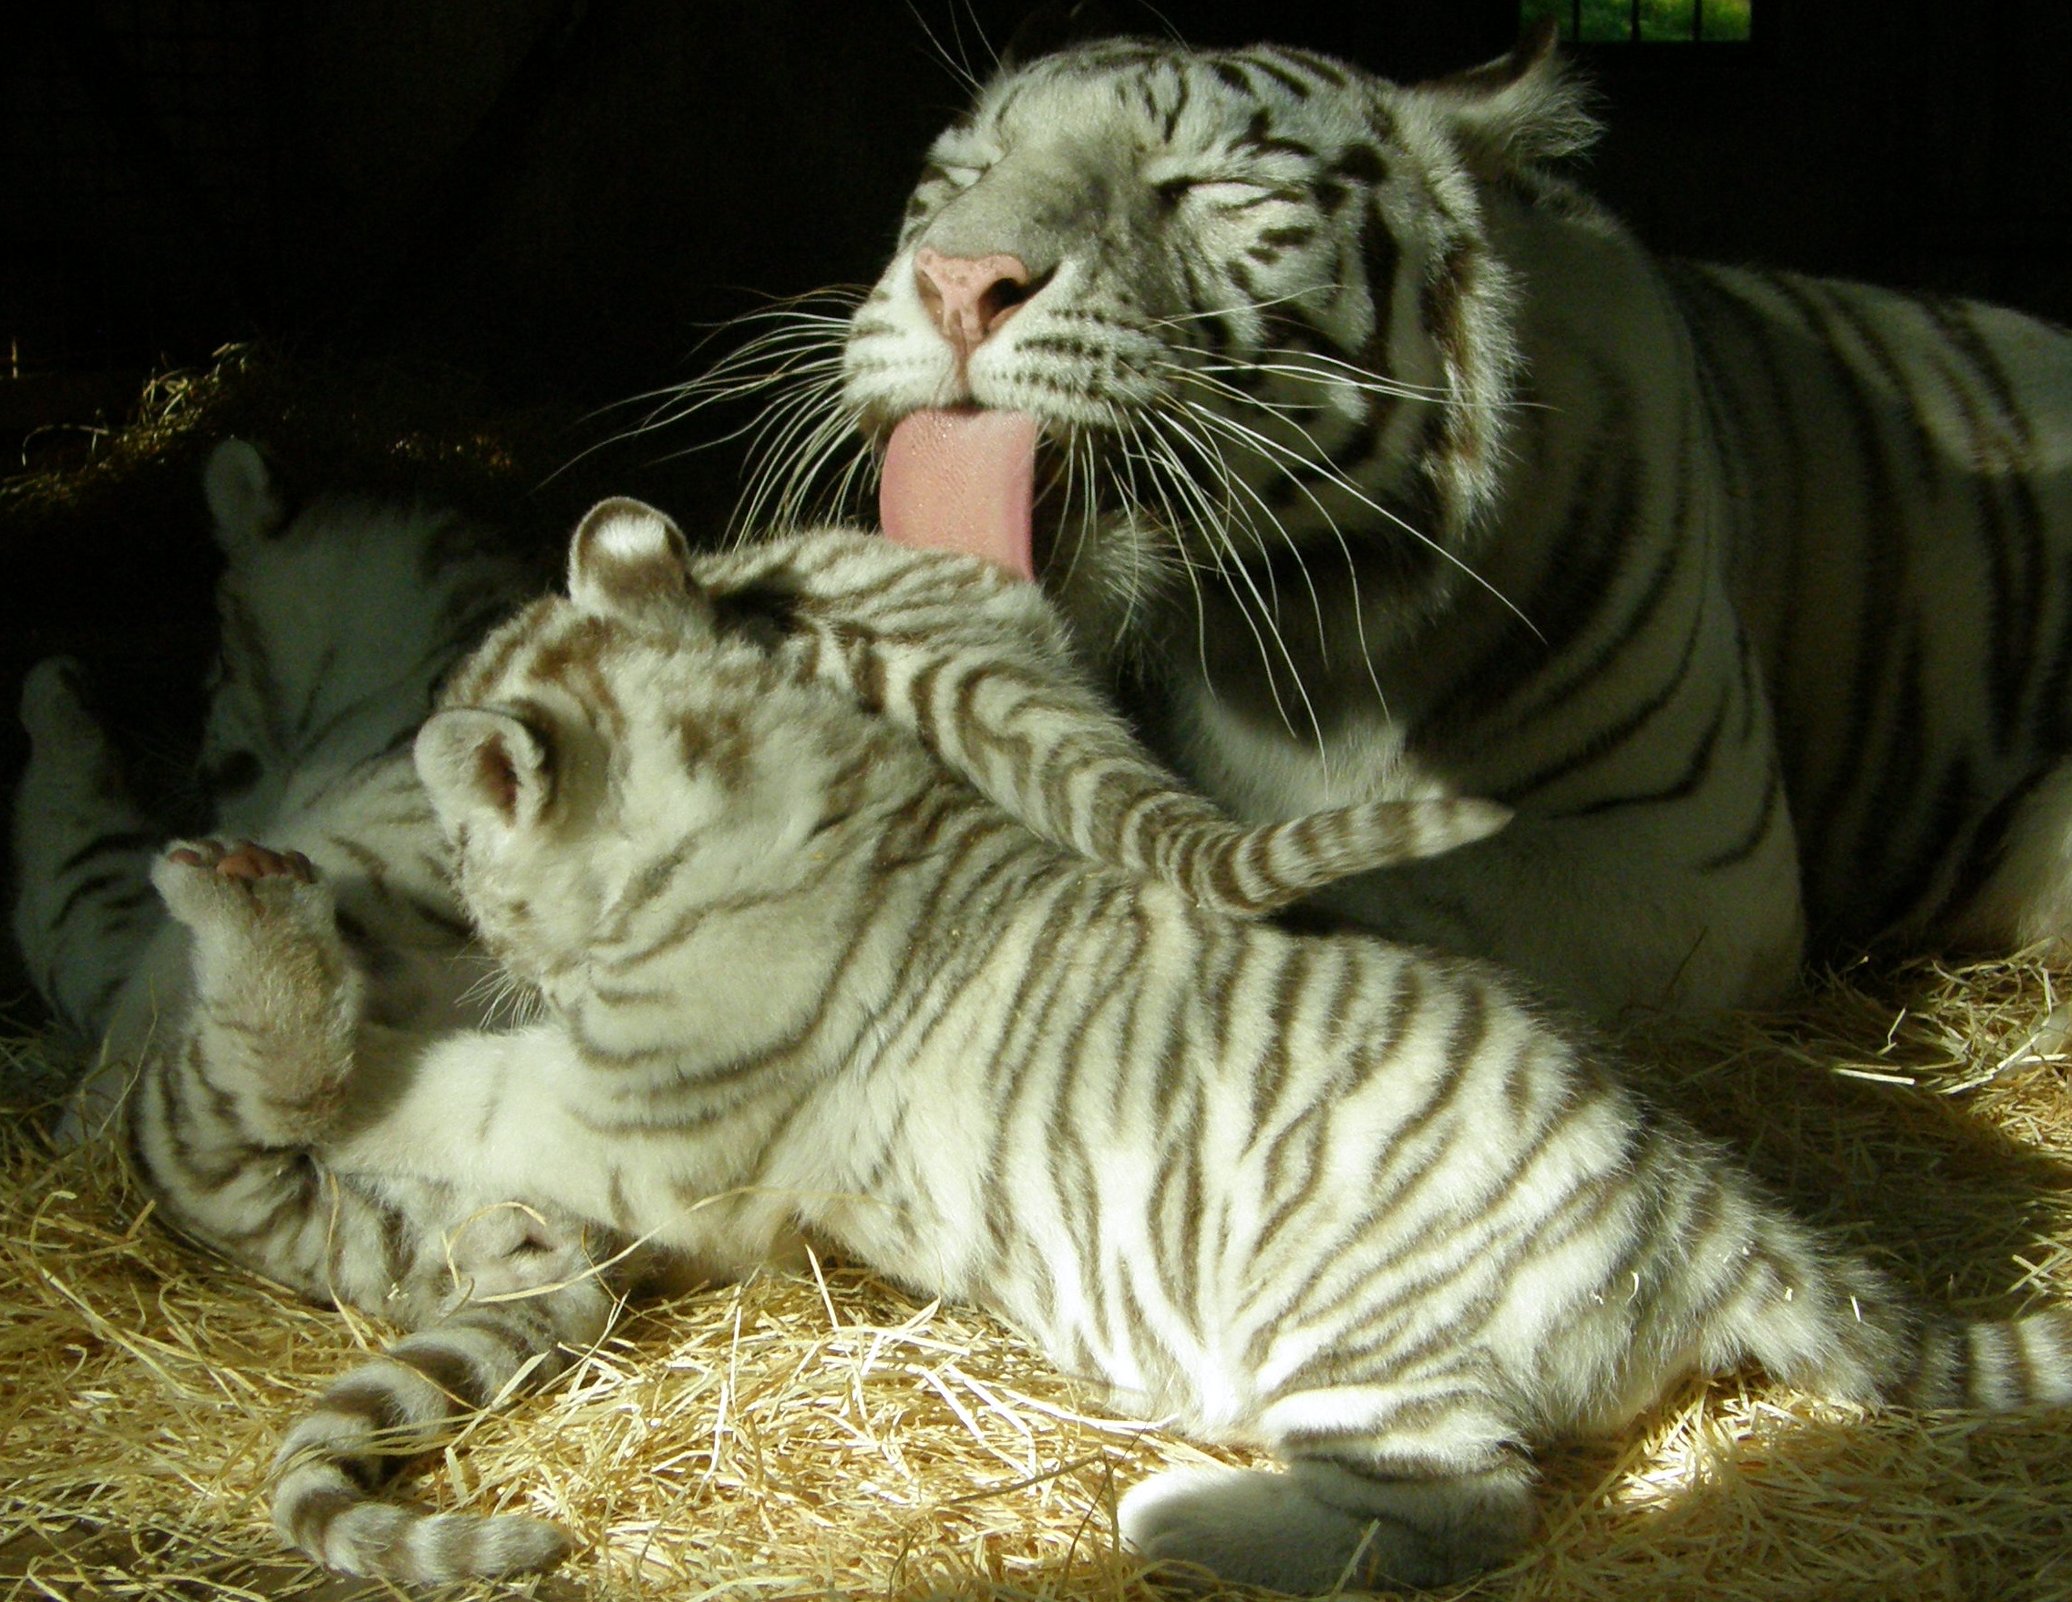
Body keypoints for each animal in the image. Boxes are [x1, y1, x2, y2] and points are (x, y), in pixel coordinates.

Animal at [816, 24, 2072, 1019]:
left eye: (1213, 188)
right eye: (959, 172)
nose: (956, 282)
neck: (1242, 619)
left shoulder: (1683, 859)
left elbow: (1352, 882)